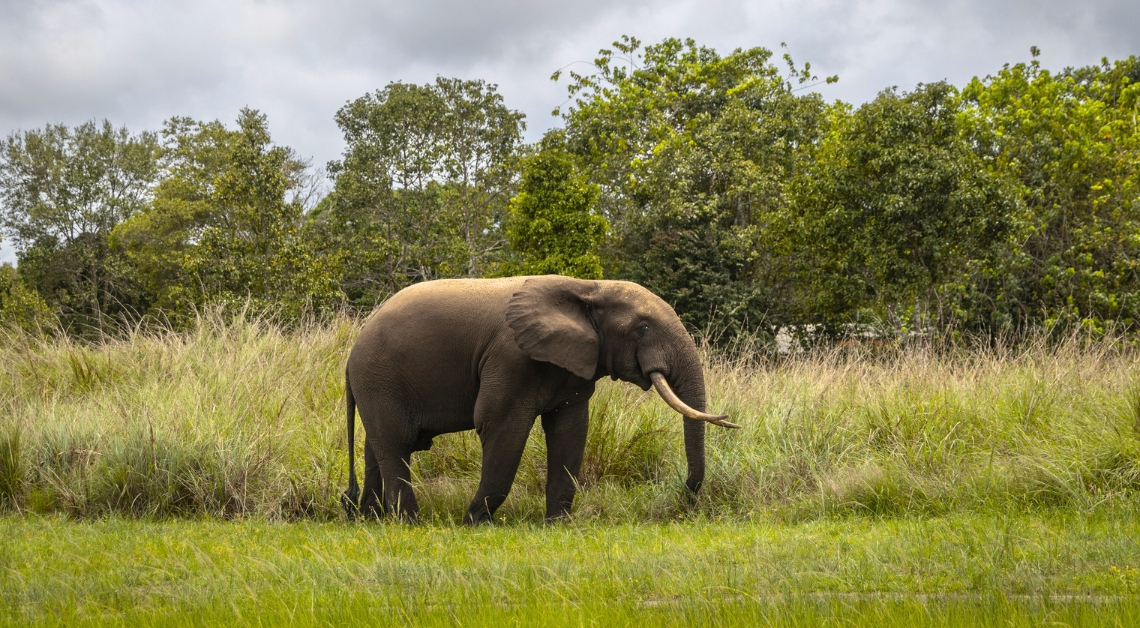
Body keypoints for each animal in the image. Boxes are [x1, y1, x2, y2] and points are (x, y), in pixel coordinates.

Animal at [341, 275, 737, 524]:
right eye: (642, 328)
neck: (587, 288)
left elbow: (570, 431)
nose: (684, 495)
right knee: (396, 445)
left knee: (376, 448)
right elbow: (501, 426)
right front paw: (474, 522)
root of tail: (351, 354)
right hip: (379, 379)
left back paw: (371, 520)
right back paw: (411, 523)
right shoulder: (510, 357)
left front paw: (558, 525)